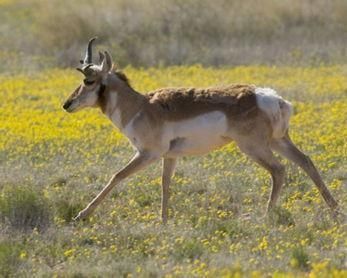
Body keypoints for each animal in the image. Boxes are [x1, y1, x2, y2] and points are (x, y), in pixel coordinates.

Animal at [62, 38, 340, 224]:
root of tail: (272, 98)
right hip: (278, 142)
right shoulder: (169, 156)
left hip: (254, 147)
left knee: (279, 170)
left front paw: (81, 214)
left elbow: (117, 176)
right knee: (305, 161)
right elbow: (165, 184)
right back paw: (335, 209)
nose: (67, 104)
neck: (141, 106)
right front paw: (163, 221)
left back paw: (265, 215)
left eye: (88, 80)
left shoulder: (147, 154)